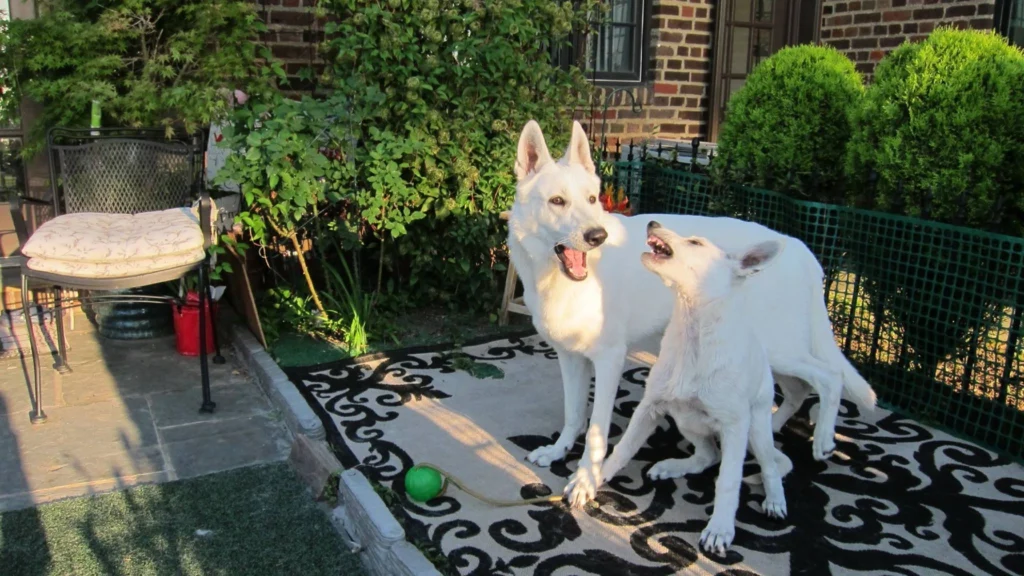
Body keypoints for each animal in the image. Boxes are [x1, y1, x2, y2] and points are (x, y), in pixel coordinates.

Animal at [507, 118, 876, 504]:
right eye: (557, 201)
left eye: (592, 199)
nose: (598, 236)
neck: (560, 277)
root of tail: (801, 248)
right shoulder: (570, 358)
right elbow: (574, 413)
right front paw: (558, 451)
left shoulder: (609, 360)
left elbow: (596, 431)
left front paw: (585, 481)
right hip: (771, 355)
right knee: (797, 391)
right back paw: (770, 435)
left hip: (779, 349)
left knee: (828, 376)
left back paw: (822, 440)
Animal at [598, 219, 790, 553]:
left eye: (696, 243)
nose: (653, 222)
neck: (693, 333)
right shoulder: (650, 406)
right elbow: (623, 448)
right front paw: (587, 481)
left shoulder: (735, 425)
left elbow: (728, 479)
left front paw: (720, 529)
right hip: (685, 420)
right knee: (708, 455)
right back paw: (670, 467)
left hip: (757, 428)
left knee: (769, 466)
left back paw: (775, 501)